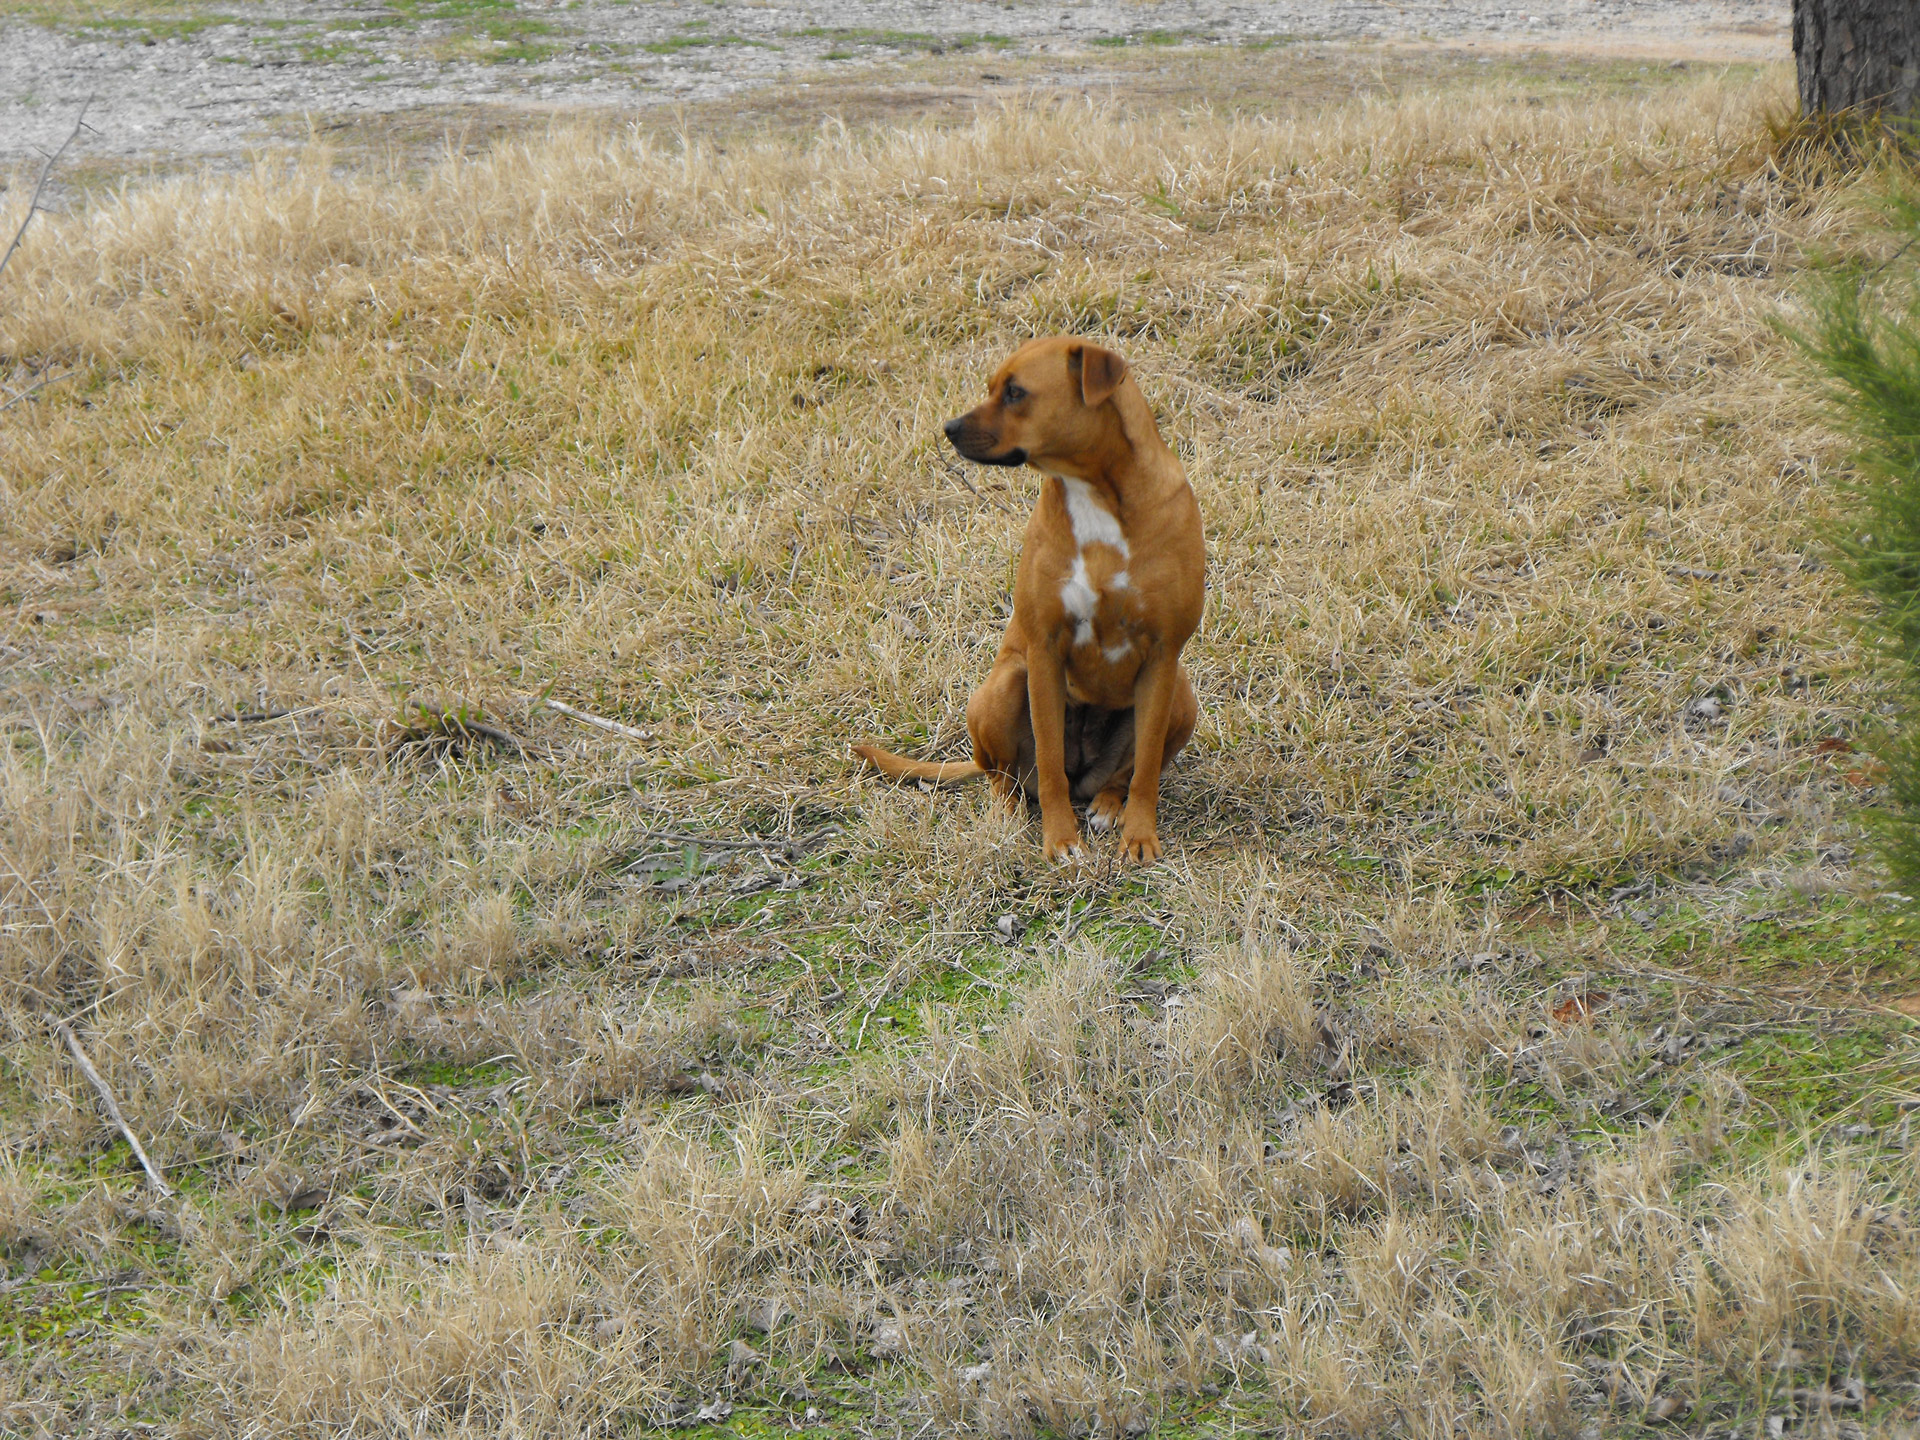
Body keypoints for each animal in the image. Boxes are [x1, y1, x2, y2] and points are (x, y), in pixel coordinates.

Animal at [856, 337, 1198, 864]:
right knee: (1005, 776)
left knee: (1125, 773)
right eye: (991, 387)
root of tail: (1086, 780)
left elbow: (1144, 773)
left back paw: (1109, 805)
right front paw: (1060, 839)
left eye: (1016, 393)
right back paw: (1011, 810)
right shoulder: (1043, 652)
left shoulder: (1163, 655)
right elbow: (1051, 760)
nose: (949, 428)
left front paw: (1140, 835)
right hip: (1002, 688)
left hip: (1181, 695)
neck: (1096, 494)